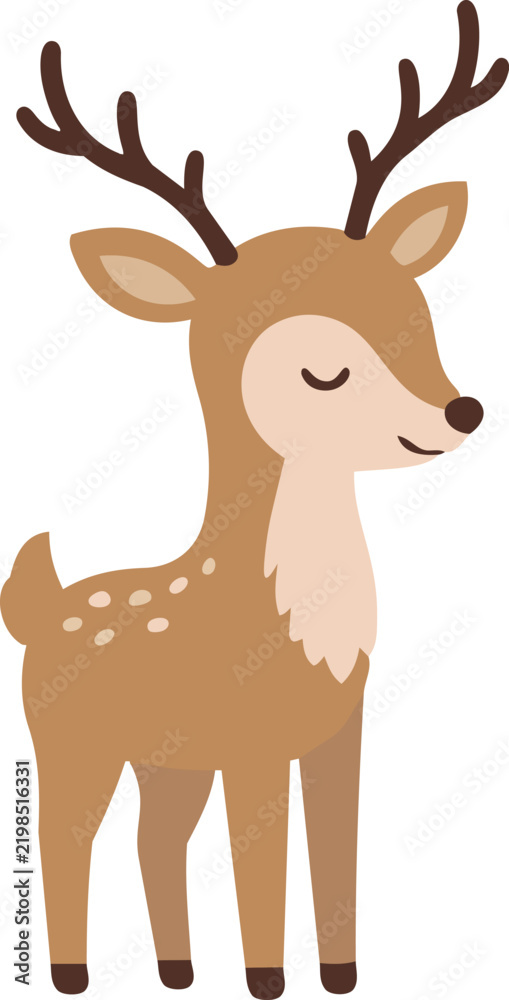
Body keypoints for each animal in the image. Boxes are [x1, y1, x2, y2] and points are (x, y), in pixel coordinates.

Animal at [2, 2, 507, 997]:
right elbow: (258, 868)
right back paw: (74, 973)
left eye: (419, 315)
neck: (287, 620)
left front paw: (341, 978)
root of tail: (39, 610)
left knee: (153, 840)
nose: (460, 410)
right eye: (322, 370)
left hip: (167, 764)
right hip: (70, 741)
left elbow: (336, 853)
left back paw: (176, 970)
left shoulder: (341, 729)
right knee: (71, 836)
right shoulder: (250, 743)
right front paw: (268, 982)